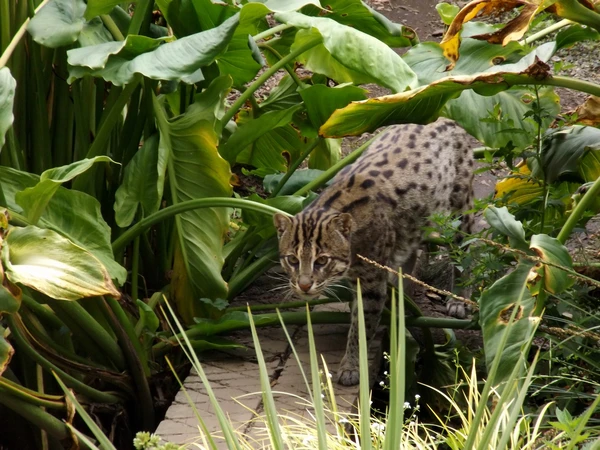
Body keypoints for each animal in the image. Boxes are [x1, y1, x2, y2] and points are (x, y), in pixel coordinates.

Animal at [274, 119, 476, 386]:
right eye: (292, 259)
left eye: (322, 261)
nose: (304, 285)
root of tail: (446, 118)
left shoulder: (370, 284)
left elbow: (361, 327)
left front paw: (351, 366)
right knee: (411, 254)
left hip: (458, 216)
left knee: (467, 249)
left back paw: (458, 299)